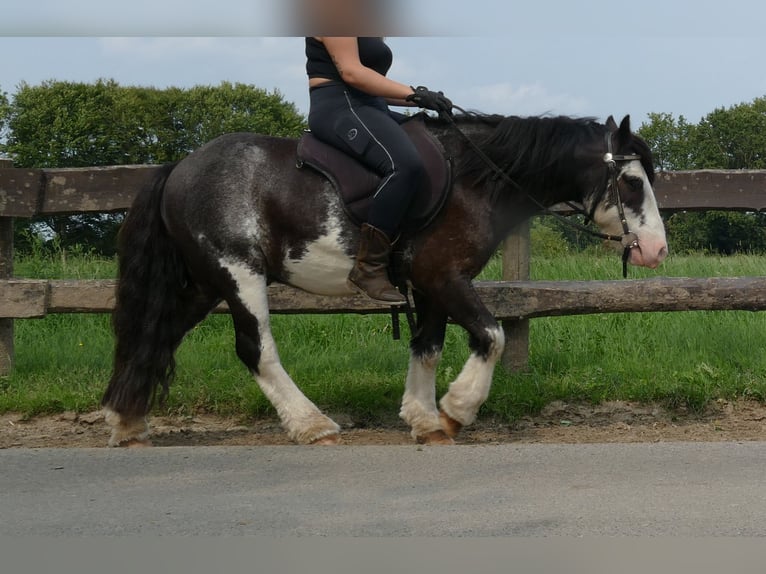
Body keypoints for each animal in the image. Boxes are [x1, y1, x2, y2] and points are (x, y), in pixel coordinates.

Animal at [103, 111, 672, 446]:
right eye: (630, 181)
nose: (656, 249)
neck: (474, 178)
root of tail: (178, 168)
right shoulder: (444, 277)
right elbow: (492, 335)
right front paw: (456, 410)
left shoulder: (432, 284)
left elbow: (428, 347)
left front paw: (424, 419)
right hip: (238, 274)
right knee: (255, 350)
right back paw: (311, 425)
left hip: (204, 284)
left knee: (155, 335)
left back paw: (126, 421)